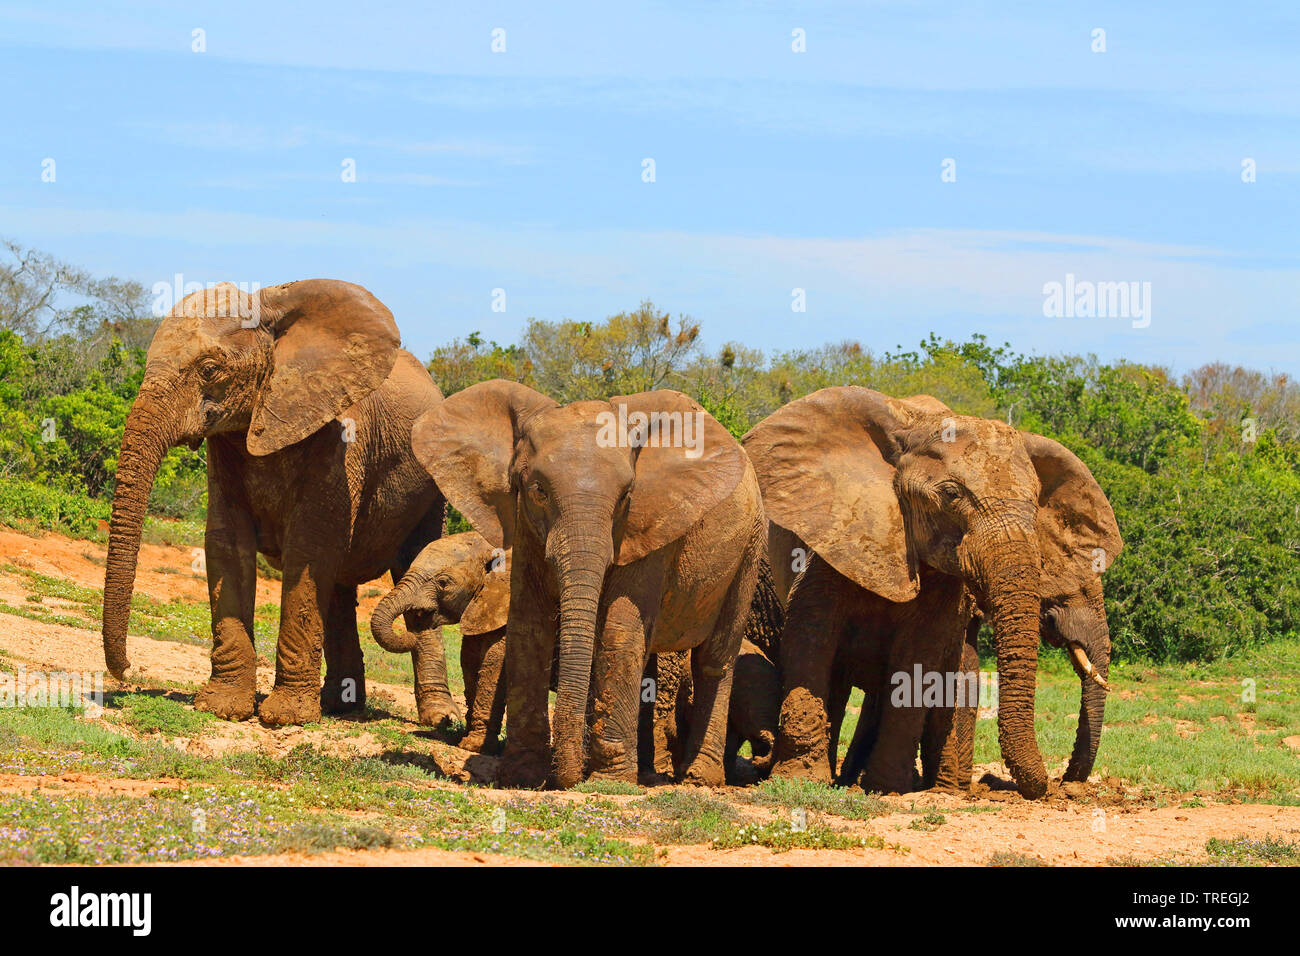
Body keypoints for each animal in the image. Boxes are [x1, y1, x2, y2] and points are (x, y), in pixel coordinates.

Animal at [98, 280, 449, 728]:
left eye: (209, 370)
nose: (126, 671)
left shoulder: (338, 433)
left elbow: (309, 548)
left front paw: (285, 717)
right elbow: (228, 542)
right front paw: (224, 707)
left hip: (432, 489)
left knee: (415, 566)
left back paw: (437, 719)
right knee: (339, 587)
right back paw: (339, 706)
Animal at [369, 530, 509, 749]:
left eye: (443, 582)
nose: (410, 634)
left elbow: (494, 666)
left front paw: (473, 746)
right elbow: (469, 661)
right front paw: (463, 736)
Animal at [410, 377, 764, 790]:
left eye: (626, 496)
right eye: (538, 490)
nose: (568, 777)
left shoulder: (650, 528)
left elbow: (620, 628)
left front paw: (609, 783)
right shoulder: (526, 524)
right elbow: (528, 623)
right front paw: (523, 775)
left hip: (751, 548)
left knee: (715, 659)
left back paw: (697, 779)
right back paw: (644, 770)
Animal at [748, 387, 1123, 801]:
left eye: (1036, 501)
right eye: (951, 494)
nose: (1059, 786)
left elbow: (922, 655)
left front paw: (888, 788)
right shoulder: (834, 534)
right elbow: (810, 638)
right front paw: (799, 781)